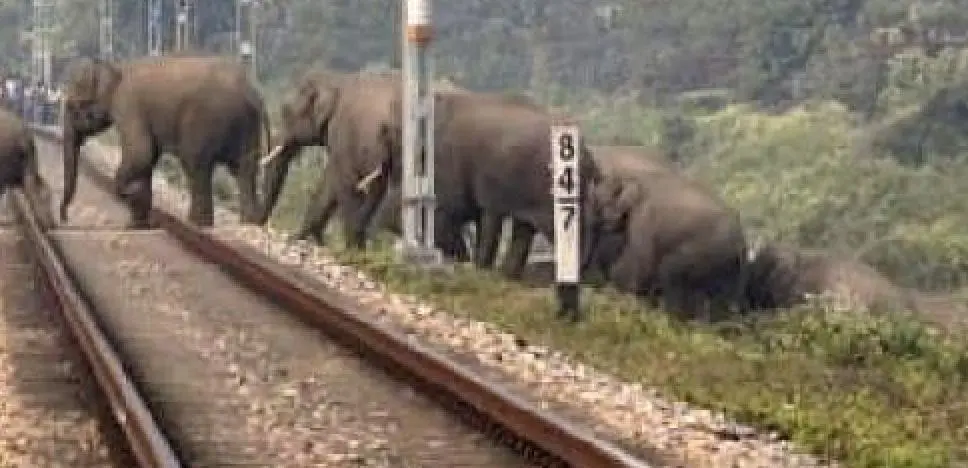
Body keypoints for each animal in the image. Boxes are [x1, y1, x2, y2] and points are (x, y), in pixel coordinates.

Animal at [59, 55, 272, 228]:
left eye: (72, 107)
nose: (64, 219)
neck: (117, 67)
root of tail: (253, 92)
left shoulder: (128, 105)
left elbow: (140, 153)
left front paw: (131, 195)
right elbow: (148, 158)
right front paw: (137, 223)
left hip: (207, 120)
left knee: (196, 165)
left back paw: (197, 223)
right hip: (248, 127)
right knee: (245, 169)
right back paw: (247, 223)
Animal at [589, 166, 749, 320]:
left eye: (600, 203)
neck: (632, 176)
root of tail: (741, 241)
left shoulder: (644, 216)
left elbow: (642, 260)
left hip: (705, 250)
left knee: (669, 271)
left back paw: (672, 316)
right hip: (729, 265)